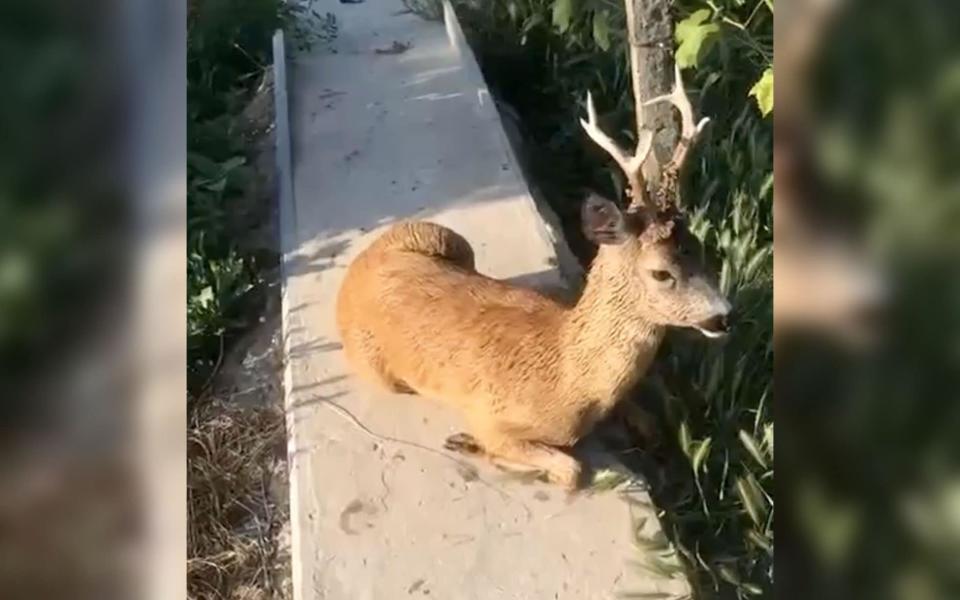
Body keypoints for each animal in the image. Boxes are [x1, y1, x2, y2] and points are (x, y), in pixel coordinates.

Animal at [336, 62, 728, 488]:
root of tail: (356, 269)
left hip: (447, 238)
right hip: (379, 368)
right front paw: (470, 444)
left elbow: (652, 427)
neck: (573, 381)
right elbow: (571, 470)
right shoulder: (492, 417)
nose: (724, 315)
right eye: (661, 272)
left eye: (700, 248)